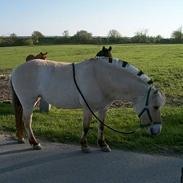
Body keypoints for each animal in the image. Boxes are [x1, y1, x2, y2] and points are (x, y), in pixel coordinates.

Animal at [10, 58, 164, 152]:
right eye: (155, 106)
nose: (157, 131)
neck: (101, 77)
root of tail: (15, 70)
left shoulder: (103, 109)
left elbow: (101, 126)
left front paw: (103, 145)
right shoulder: (87, 109)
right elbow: (86, 127)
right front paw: (84, 146)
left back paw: (23, 139)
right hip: (28, 102)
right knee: (27, 121)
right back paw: (35, 143)